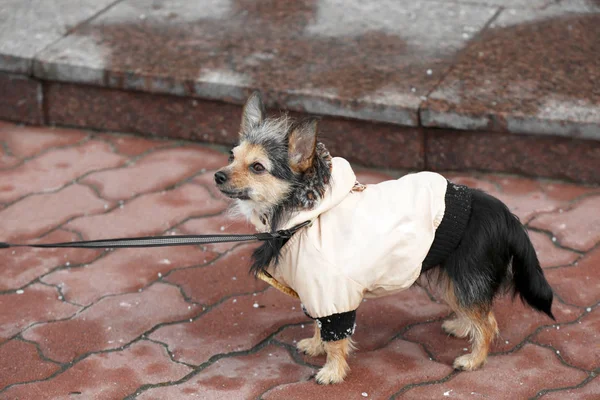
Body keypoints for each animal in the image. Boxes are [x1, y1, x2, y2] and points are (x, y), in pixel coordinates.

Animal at [214, 91, 552, 384]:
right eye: (232, 156)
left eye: (258, 167)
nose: (218, 175)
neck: (306, 212)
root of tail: (507, 216)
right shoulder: (315, 292)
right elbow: (319, 325)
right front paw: (316, 345)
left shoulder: (332, 292)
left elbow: (335, 336)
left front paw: (332, 372)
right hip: (455, 279)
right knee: (478, 313)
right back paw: (461, 326)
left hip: (467, 276)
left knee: (489, 323)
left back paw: (473, 360)